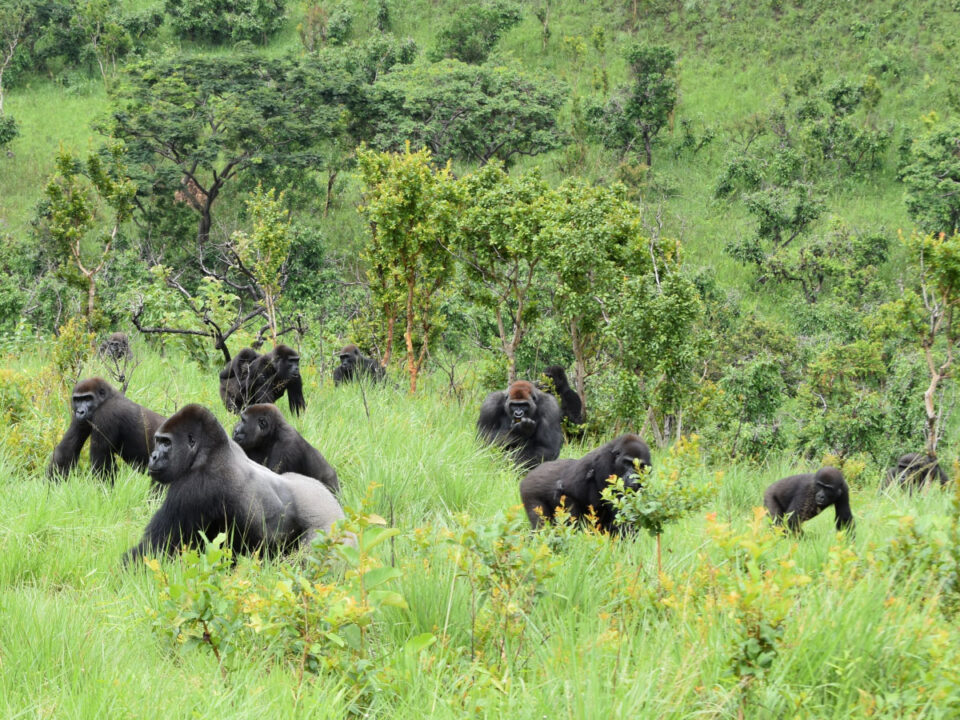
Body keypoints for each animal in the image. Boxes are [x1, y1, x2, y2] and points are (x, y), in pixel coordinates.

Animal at [125, 404, 344, 564]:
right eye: (158, 440)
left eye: (167, 443)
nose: (153, 456)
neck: (208, 452)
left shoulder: (194, 487)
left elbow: (153, 548)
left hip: (327, 531)